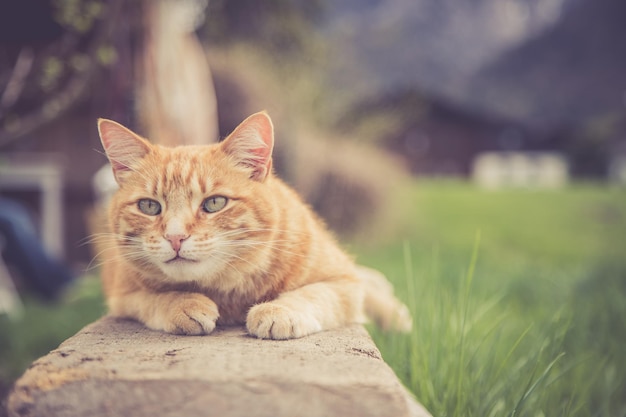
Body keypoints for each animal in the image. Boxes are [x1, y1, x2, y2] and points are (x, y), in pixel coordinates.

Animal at [96, 110, 410, 338]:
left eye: (214, 203)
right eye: (149, 206)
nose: (175, 237)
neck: (229, 292)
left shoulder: (342, 282)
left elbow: (311, 294)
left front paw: (276, 311)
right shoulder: (122, 295)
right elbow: (156, 297)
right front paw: (184, 303)